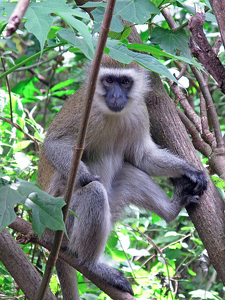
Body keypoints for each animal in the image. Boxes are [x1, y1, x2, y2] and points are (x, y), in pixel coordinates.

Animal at [37, 54, 207, 298]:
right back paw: (93, 265)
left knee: (128, 173)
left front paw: (190, 170)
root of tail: (45, 235)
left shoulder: (140, 112)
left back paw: (171, 209)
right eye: (109, 80)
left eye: (125, 82)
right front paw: (86, 176)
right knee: (96, 193)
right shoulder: (85, 112)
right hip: (61, 224)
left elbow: (143, 157)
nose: (116, 95)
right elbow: (55, 144)